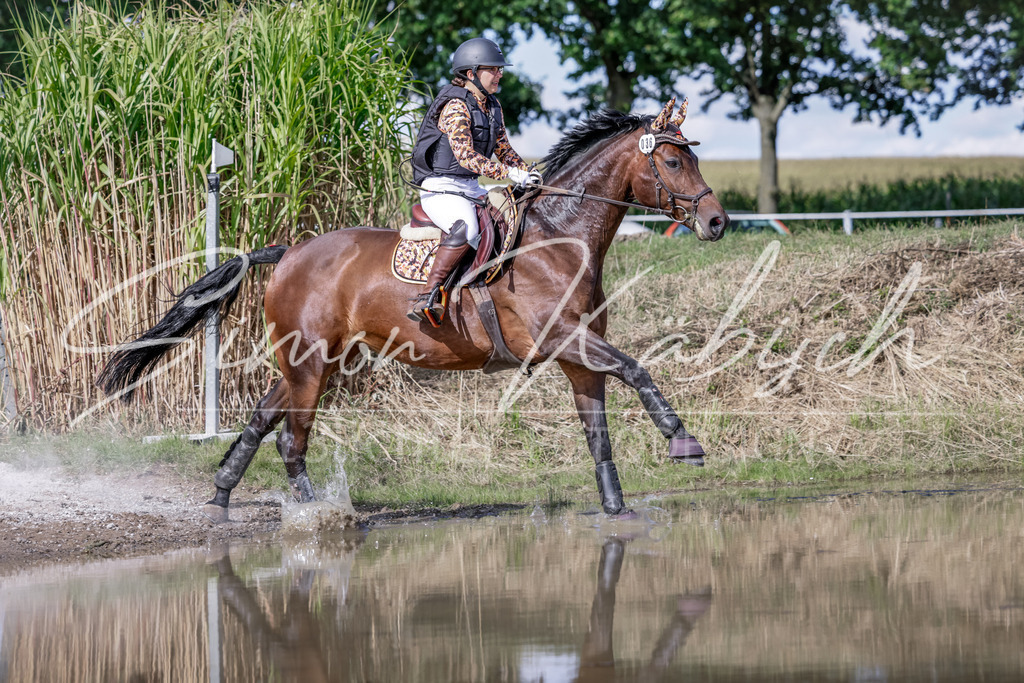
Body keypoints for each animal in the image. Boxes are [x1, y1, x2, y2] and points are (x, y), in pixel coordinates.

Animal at [98, 98, 729, 521]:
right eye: (674, 163)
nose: (717, 222)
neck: (559, 237)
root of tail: (288, 251)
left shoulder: (578, 359)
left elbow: (599, 434)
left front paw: (617, 509)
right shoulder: (562, 339)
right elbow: (637, 367)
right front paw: (683, 441)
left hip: (316, 362)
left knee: (263, 419)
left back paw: (222, 495)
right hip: (309, 363)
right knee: (292, 440)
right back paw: (317, 518)